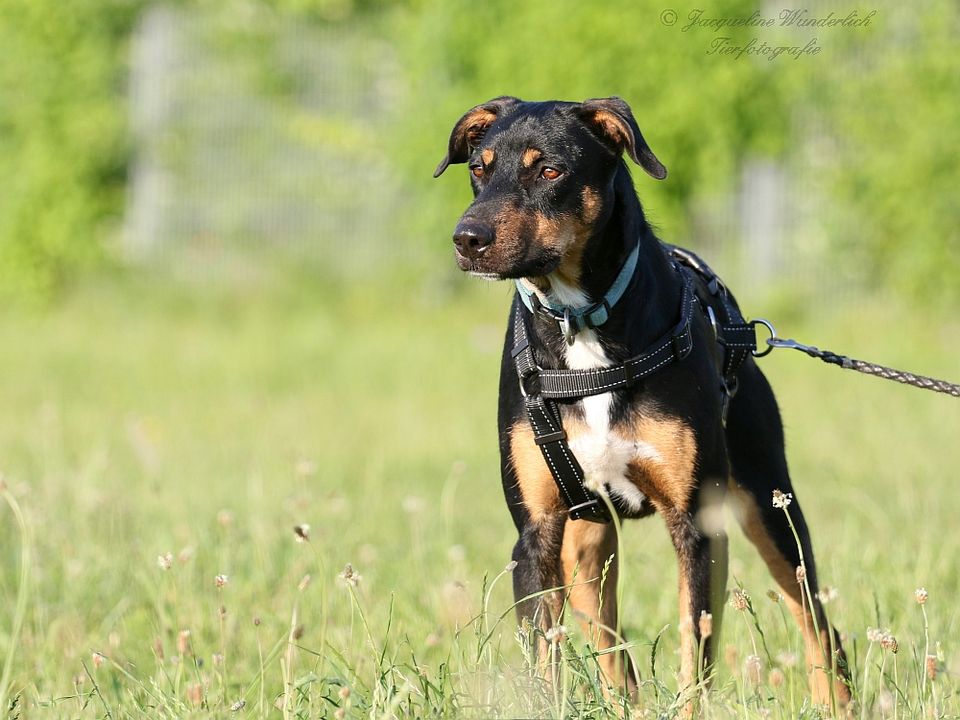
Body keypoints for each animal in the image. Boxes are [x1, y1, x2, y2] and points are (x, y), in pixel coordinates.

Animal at [434, 97, 848, 708]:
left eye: (550, 171)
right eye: (479, 170)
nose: (468, 238)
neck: (581, 321)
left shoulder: (697, 524)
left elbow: (695, 652)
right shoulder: (535, 534)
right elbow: (546, 660)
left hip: (770, 504)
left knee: (817, 622)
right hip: (586, 543)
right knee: (609, 647)